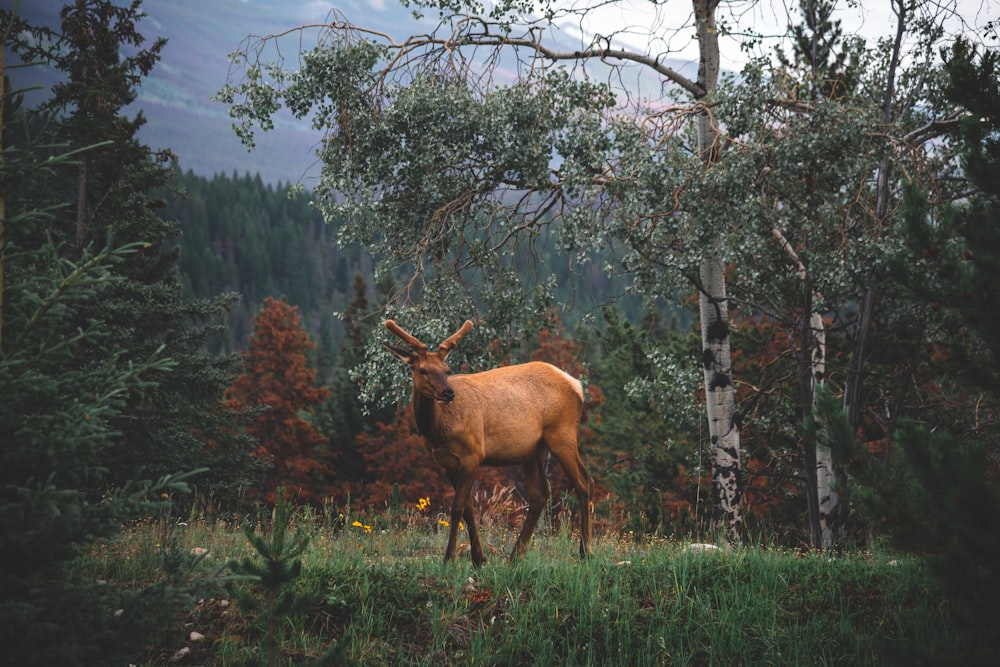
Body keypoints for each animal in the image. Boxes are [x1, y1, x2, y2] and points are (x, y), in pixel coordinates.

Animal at [380, 318, 584, 564]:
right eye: (422, 370)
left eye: (447, 370)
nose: (448, 392)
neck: (438, 432)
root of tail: (577, 385)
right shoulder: (448, 462)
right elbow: (468, 508)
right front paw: (478, 558)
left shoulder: (473, 454)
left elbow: (457, 507)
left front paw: (449, 558)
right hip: (533, 450)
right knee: (540, 494)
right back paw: (514, 556)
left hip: (562, 434)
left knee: (584, 484)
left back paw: (586, 552)